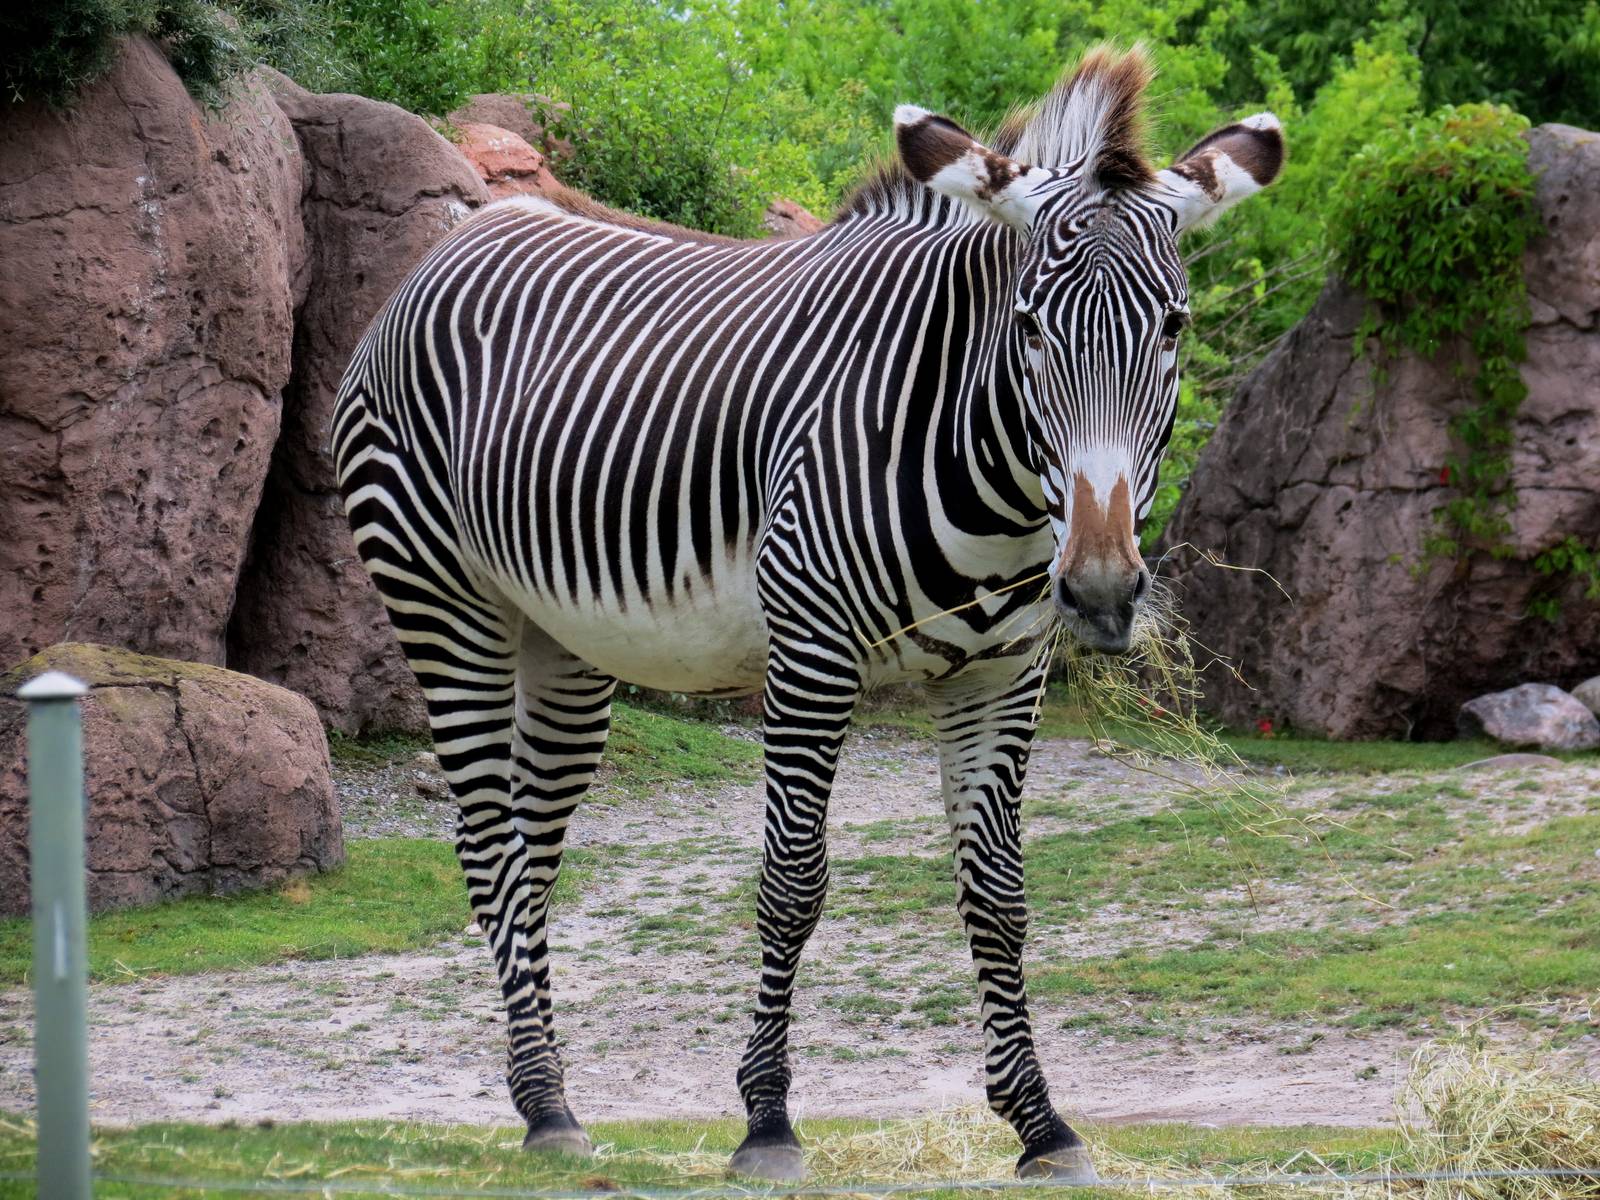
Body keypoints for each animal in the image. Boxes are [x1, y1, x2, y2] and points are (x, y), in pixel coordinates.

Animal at [331, 46, 1282, 1185]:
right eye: (1028, 327)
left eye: (1173, 327)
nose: (1099, 587)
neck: (991, 485)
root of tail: (462, 239)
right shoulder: (813, 659)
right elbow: (792, 884)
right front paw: (767, 1122)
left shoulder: (1004, 676)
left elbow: (999, 896)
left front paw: (1041, 1125)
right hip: (444, 604)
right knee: (487, 848)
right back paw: (549, 1111)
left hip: (563, 645)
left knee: (532, 853)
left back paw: (547, 1100)